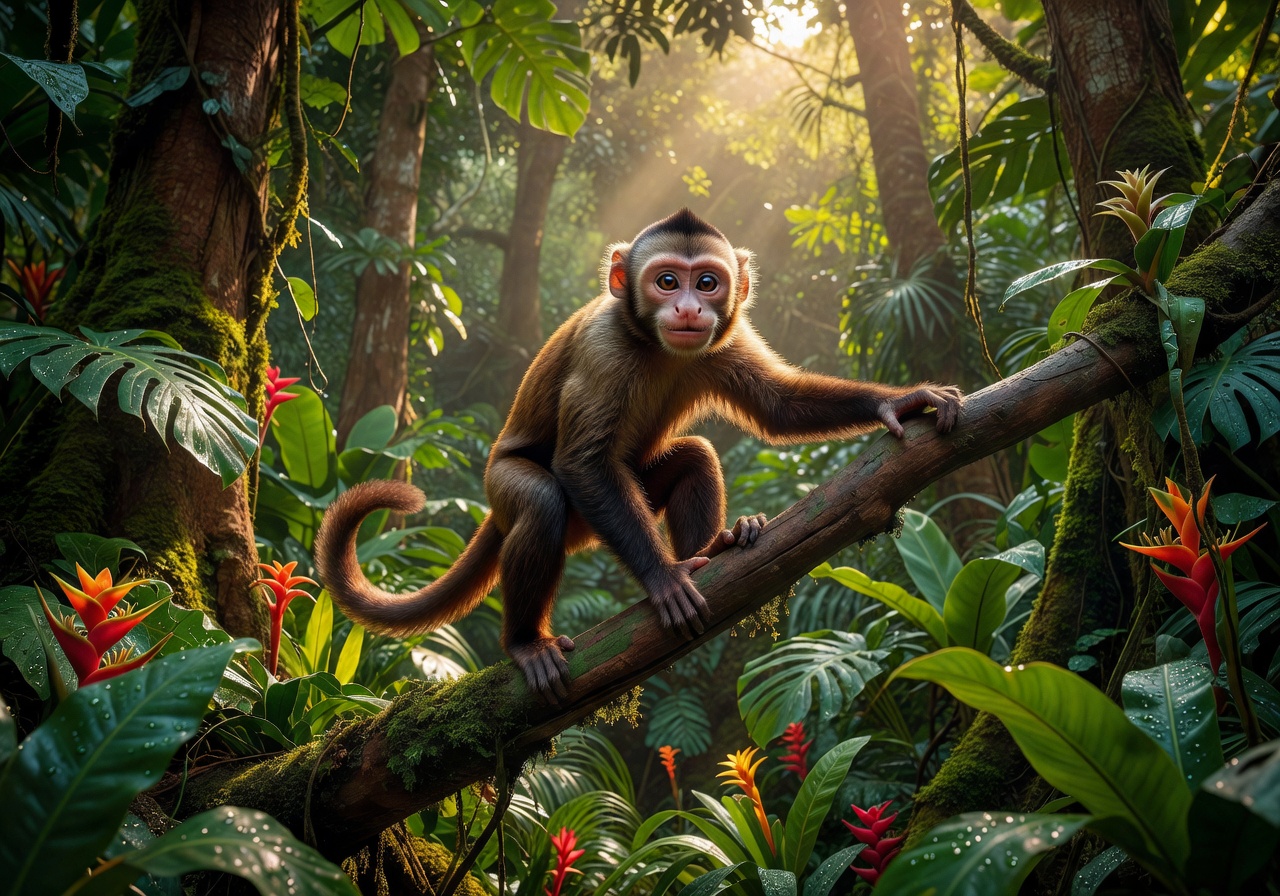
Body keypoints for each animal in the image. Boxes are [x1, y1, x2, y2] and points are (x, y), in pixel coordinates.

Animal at [315, 209, 962, 704]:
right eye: (666, 282)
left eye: (707, 283)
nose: (689, 310)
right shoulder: (603, 349)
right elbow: (582, 463)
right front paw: (662, 579)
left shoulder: (725, 339)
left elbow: (779, 406)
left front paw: (901, 401)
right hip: (510, 485)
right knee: (543, 499)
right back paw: (526, 641)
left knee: (695, 457)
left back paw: (717, 547)